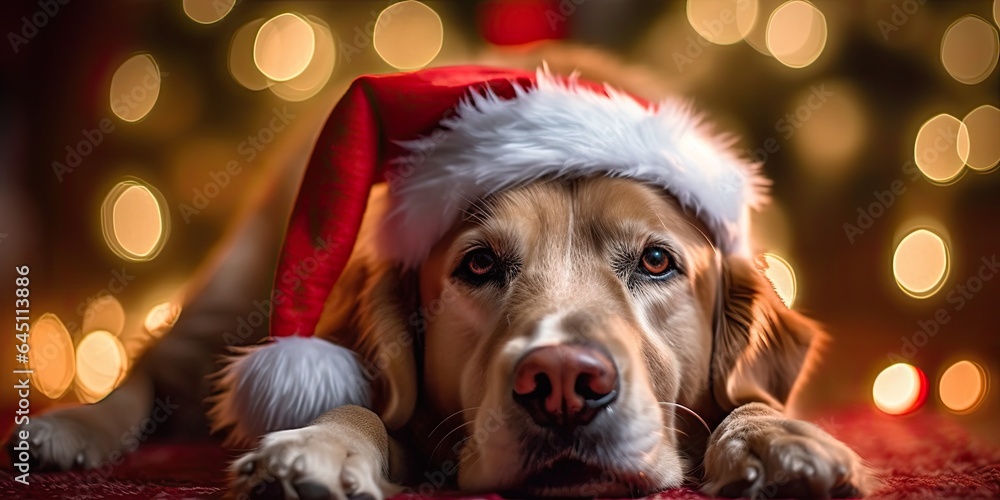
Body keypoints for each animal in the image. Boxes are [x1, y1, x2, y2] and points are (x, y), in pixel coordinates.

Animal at [7, 67, 872, 500]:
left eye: (657, 261)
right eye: (479, 265)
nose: (563, 382)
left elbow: (750, 403)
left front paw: (779, 441)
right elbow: (358, 403)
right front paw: (316, 448)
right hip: (230, 297)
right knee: (150, 370)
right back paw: (66, 430)